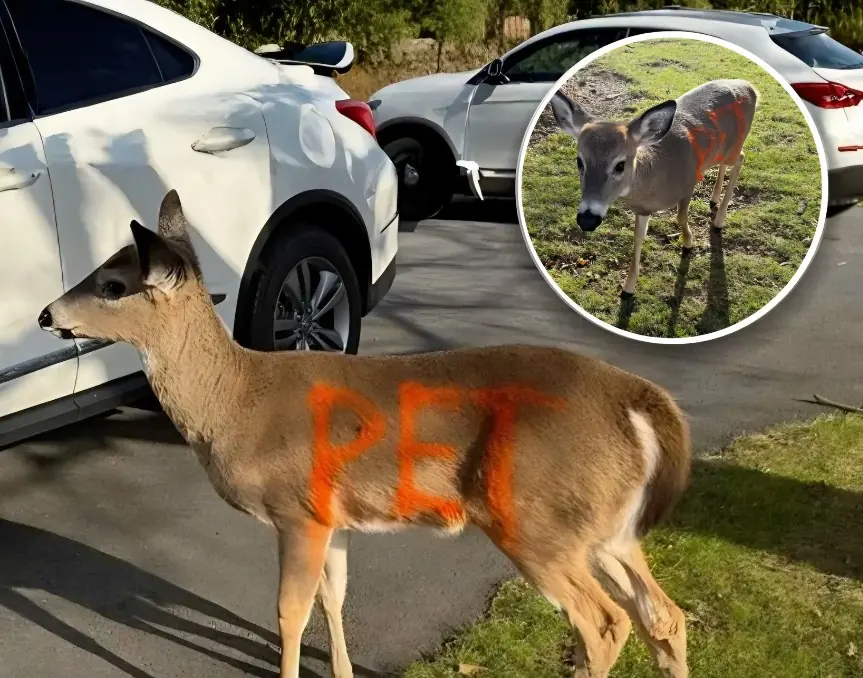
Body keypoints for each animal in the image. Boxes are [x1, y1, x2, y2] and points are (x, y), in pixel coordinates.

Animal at [38, 189, 693, 678]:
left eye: (114, 284)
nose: (46, 315)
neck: (236, 402)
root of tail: (637, 400)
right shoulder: (336, 518)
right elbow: (334, 599)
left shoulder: (298, 510)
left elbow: (289, 613)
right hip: (606, 527)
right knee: (664, 615)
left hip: (536, 516)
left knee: (605, 623)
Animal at [550, 79, 759, 298]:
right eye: (579, 162)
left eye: (620, 165)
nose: (588, 219)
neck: (656, 175)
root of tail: (750, 87)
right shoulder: (643, 209)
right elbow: (638, 237)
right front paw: (628, 287)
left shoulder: (688, 183)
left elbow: (680, 217)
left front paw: (688, 243)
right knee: (725, 164)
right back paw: (714, 199)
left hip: (735, 144)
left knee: (741, 157)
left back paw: (719, 220)